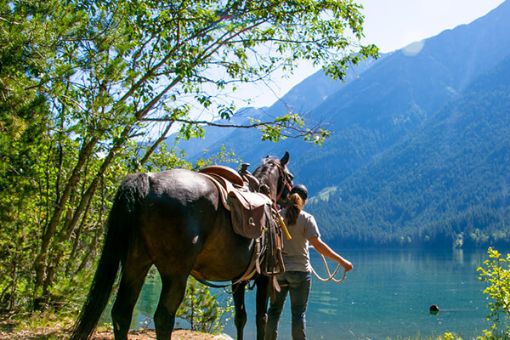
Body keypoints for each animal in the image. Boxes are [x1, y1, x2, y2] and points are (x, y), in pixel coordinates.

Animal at [70, 152, 292, 340]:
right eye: (289, 176)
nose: (290, 197)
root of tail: (148, 182)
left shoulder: (238, 280)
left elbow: (241, 317)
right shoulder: (264, 277)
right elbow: (261, 319)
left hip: (135, 264)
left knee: (121, 313)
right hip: (175, 273)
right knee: (163, 317)